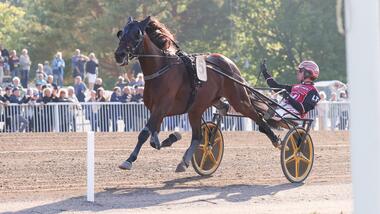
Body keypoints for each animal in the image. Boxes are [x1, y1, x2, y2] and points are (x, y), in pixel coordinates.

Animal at [113, 16, 280, 172]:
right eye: (121, 33)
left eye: (137, 34)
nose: (119, 54)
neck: (161, 69)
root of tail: (229, 63)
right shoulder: (156, 110)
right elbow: (154, 138)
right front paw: (171, 137)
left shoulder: (161, 107)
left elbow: (144, 133)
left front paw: (128, 160)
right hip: (200, 105)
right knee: (208, 125)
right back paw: (187, 159)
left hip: (237, 100)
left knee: (255, 116)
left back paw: (275, 139)